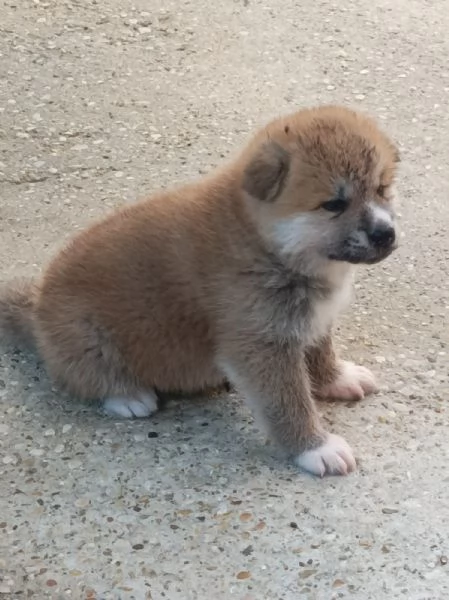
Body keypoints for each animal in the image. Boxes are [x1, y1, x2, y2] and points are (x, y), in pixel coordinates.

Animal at [0, 105, 400, 476]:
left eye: (381, 188)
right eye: (334, 204)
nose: (386, 234)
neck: (265, 243)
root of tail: (37, 303)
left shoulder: (310, 320)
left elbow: (319, 353)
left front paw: (336, 379)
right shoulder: (261, 346)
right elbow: (288, 403)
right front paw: (315, 448)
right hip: (87, 337)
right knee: (83, 376)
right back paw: (127, 396)